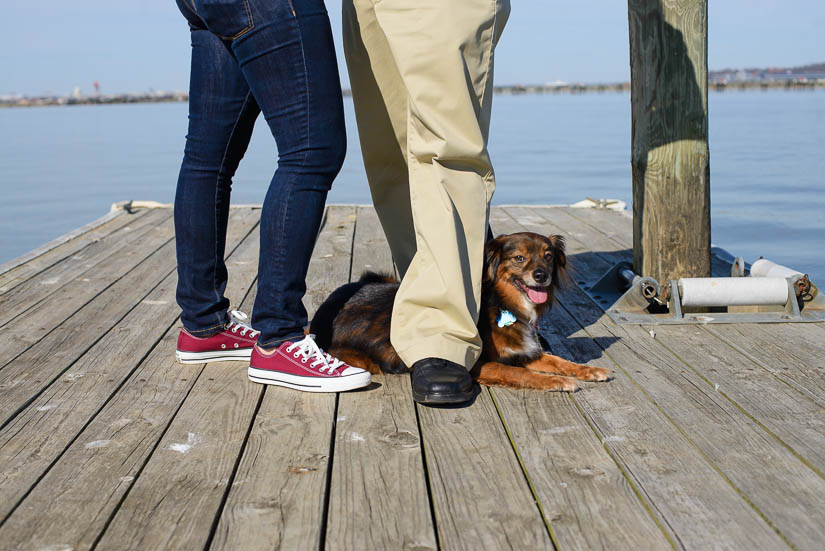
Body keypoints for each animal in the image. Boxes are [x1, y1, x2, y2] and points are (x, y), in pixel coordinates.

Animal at [312, 233, 608, 392]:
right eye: (519, 258)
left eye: (548, 256)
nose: (541, 276)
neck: (503, 304)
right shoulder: (477, 364)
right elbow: (519, 373)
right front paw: (559, 381)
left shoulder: (525, 352)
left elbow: (558, 360)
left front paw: (588, 370)